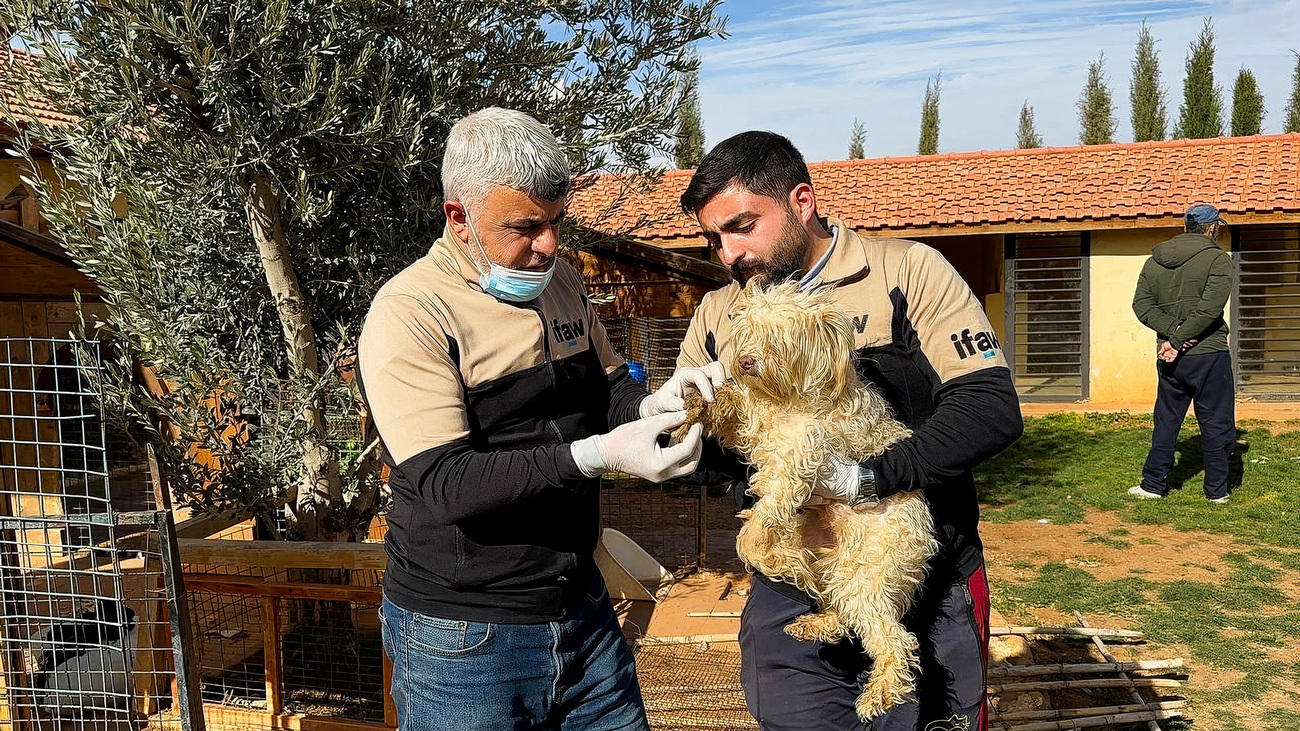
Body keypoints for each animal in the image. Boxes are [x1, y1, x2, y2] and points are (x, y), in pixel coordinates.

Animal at [676, 279, 941, 717]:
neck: (785, 396)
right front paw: (697, 401)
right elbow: (731, 404)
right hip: (836, 562)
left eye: (779, 337)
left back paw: (880, 692)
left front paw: (775, 558)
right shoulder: (756, 423)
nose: (745, 361)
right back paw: (817, 620)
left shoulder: (796, 462)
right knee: (846, 612)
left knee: (894, 640)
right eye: (748, 331)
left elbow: (756, 534)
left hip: (865, 574)